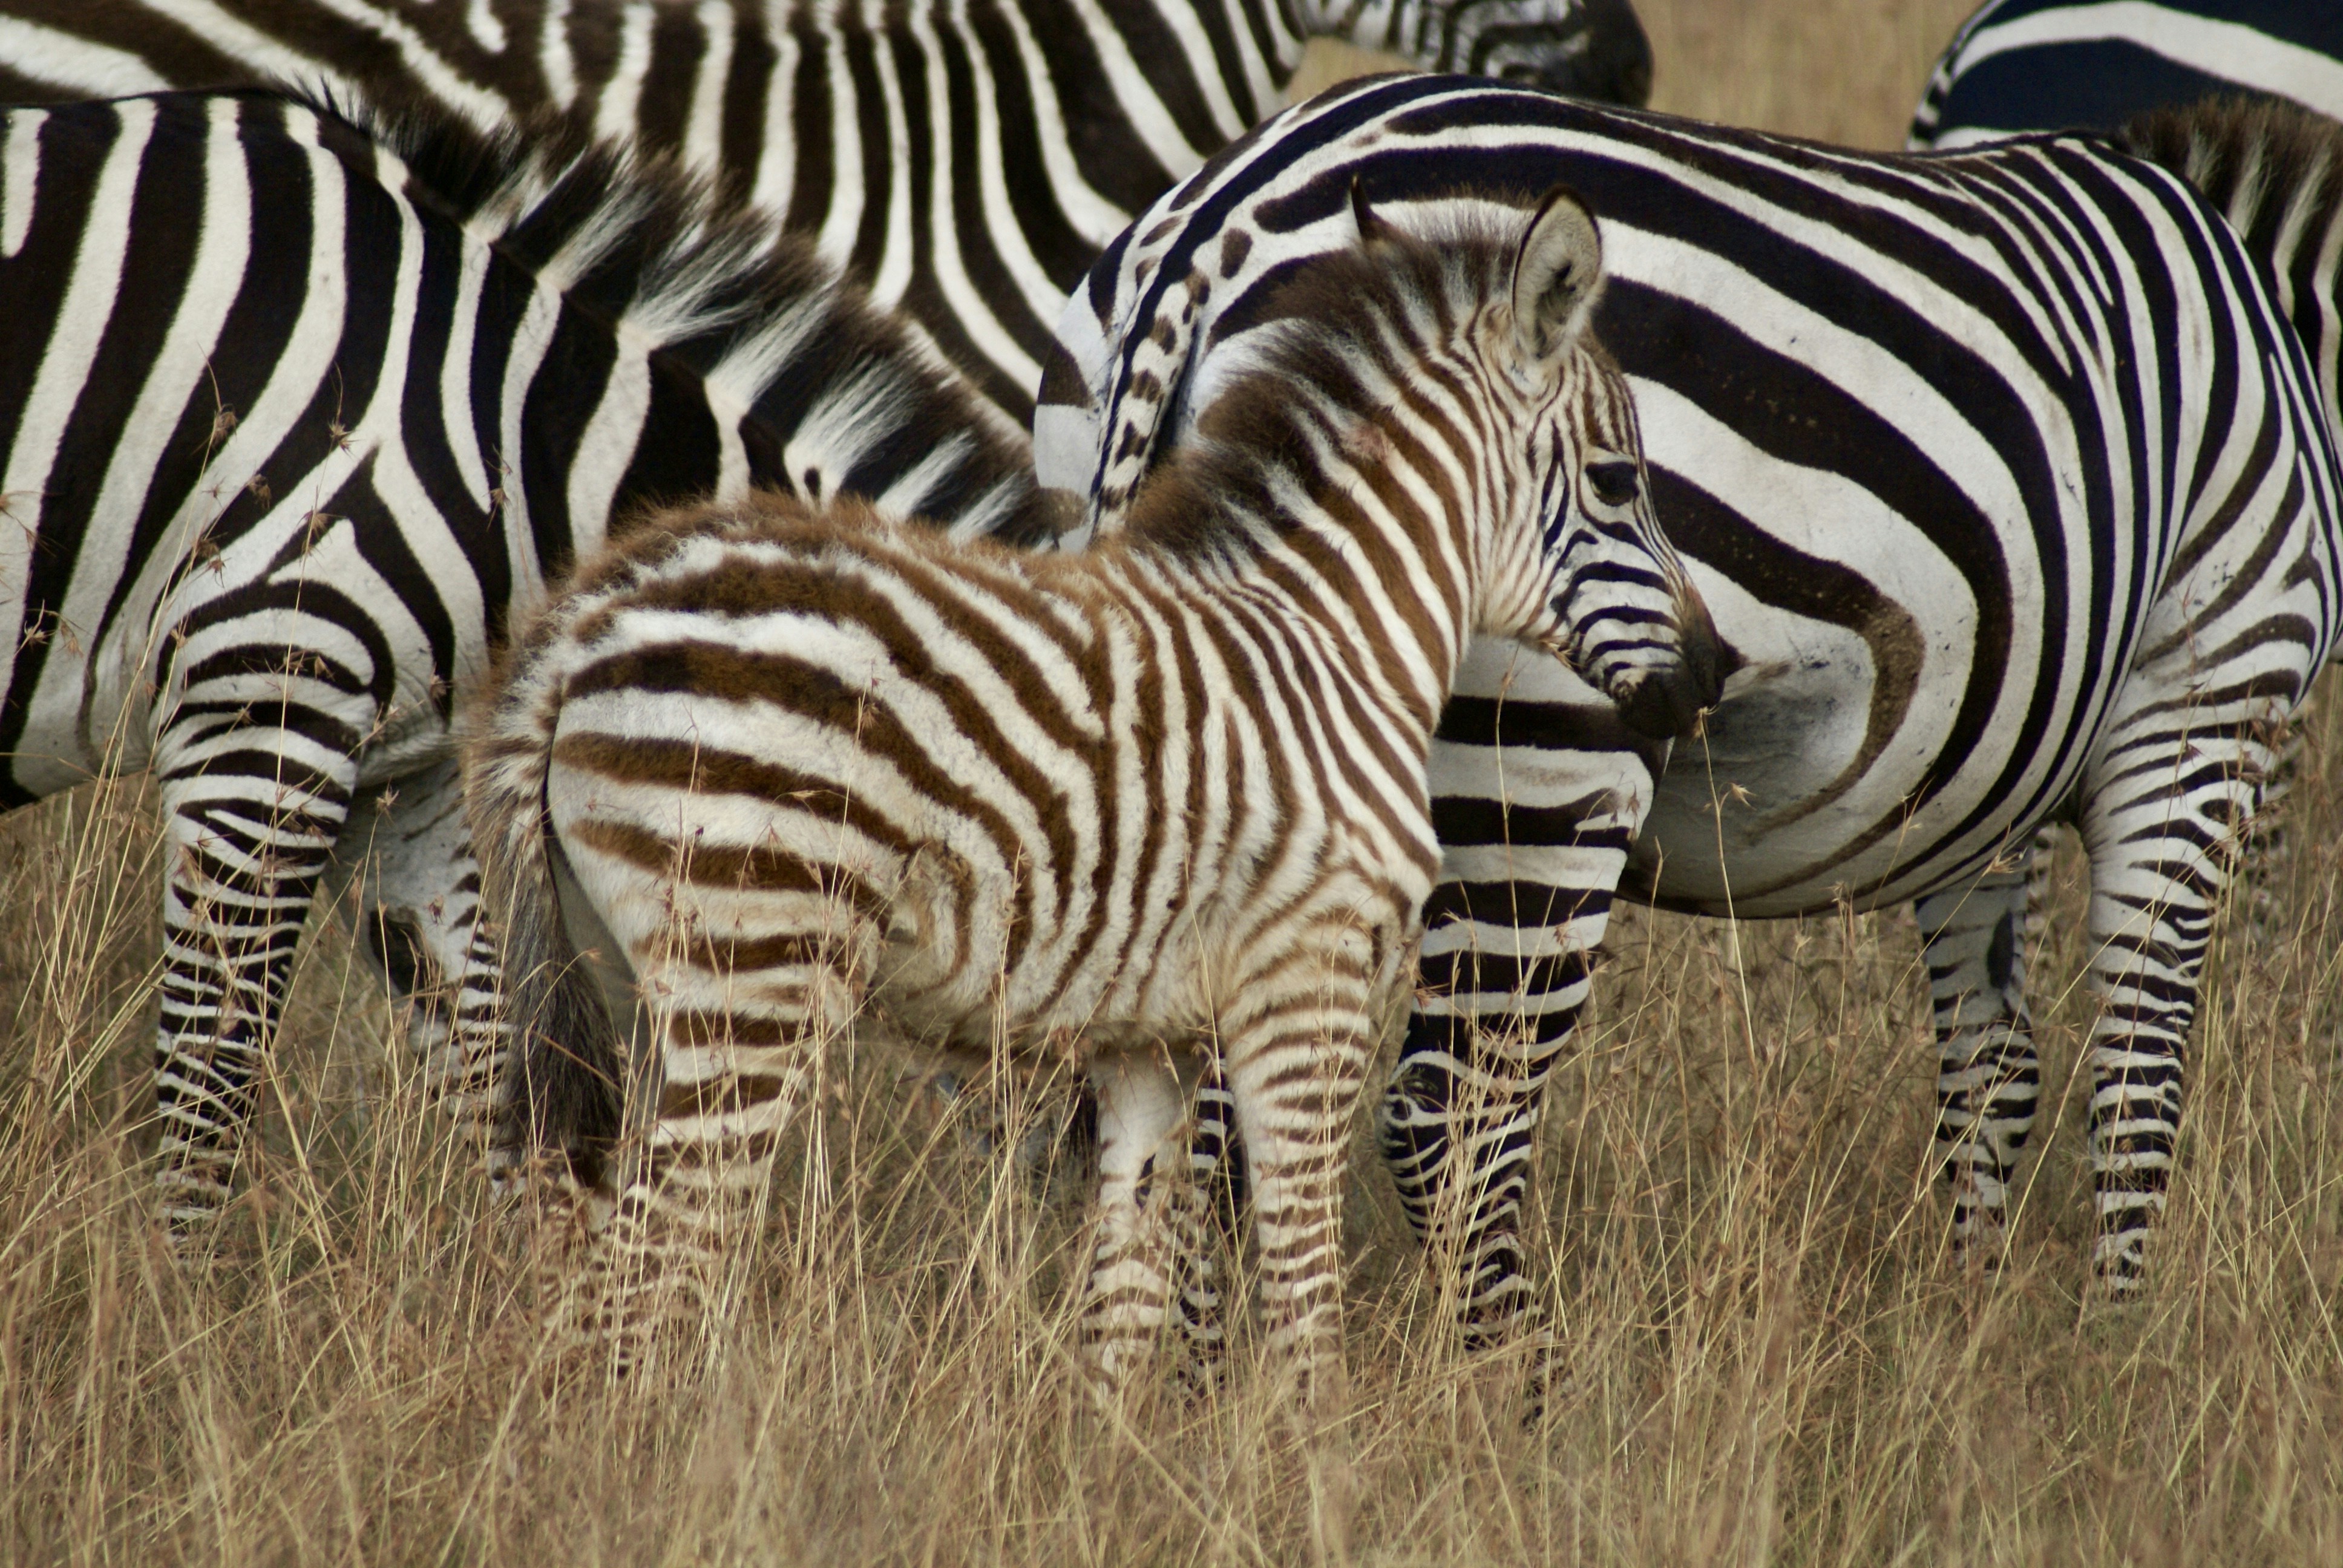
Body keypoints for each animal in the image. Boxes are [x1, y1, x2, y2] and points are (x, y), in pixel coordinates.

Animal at [0, 86, 1062, 1228]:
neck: (513, 437)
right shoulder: (259, 708)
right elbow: (212, 1091)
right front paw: (184, 1279)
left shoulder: (396, 774)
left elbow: (490, 1062)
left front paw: (523, 1275)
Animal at [464, 187, 1721, 1417]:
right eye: (1621, 481)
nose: (1712, 678)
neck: (1334, 639)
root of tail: (579, 630)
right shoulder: (1303, 991)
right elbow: (1303, 1299)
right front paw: (1311, 1464)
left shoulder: (1145, 1042)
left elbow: (1126, 1304)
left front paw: (1115, 1462)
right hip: (750, 972)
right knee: (644, 1274)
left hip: (621, 975)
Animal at [1030, 75, 2343, 1359]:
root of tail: (1217, 227)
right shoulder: (2201, 694)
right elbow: (2137, 1069)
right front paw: (2119, 1358)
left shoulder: (1985, 770)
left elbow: (1997, 1064)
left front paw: (1972, 1334)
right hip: (1542, 750)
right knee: (1450, 1120)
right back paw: (1515, 1405)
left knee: (1205, 1118)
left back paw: (1195, 1402)